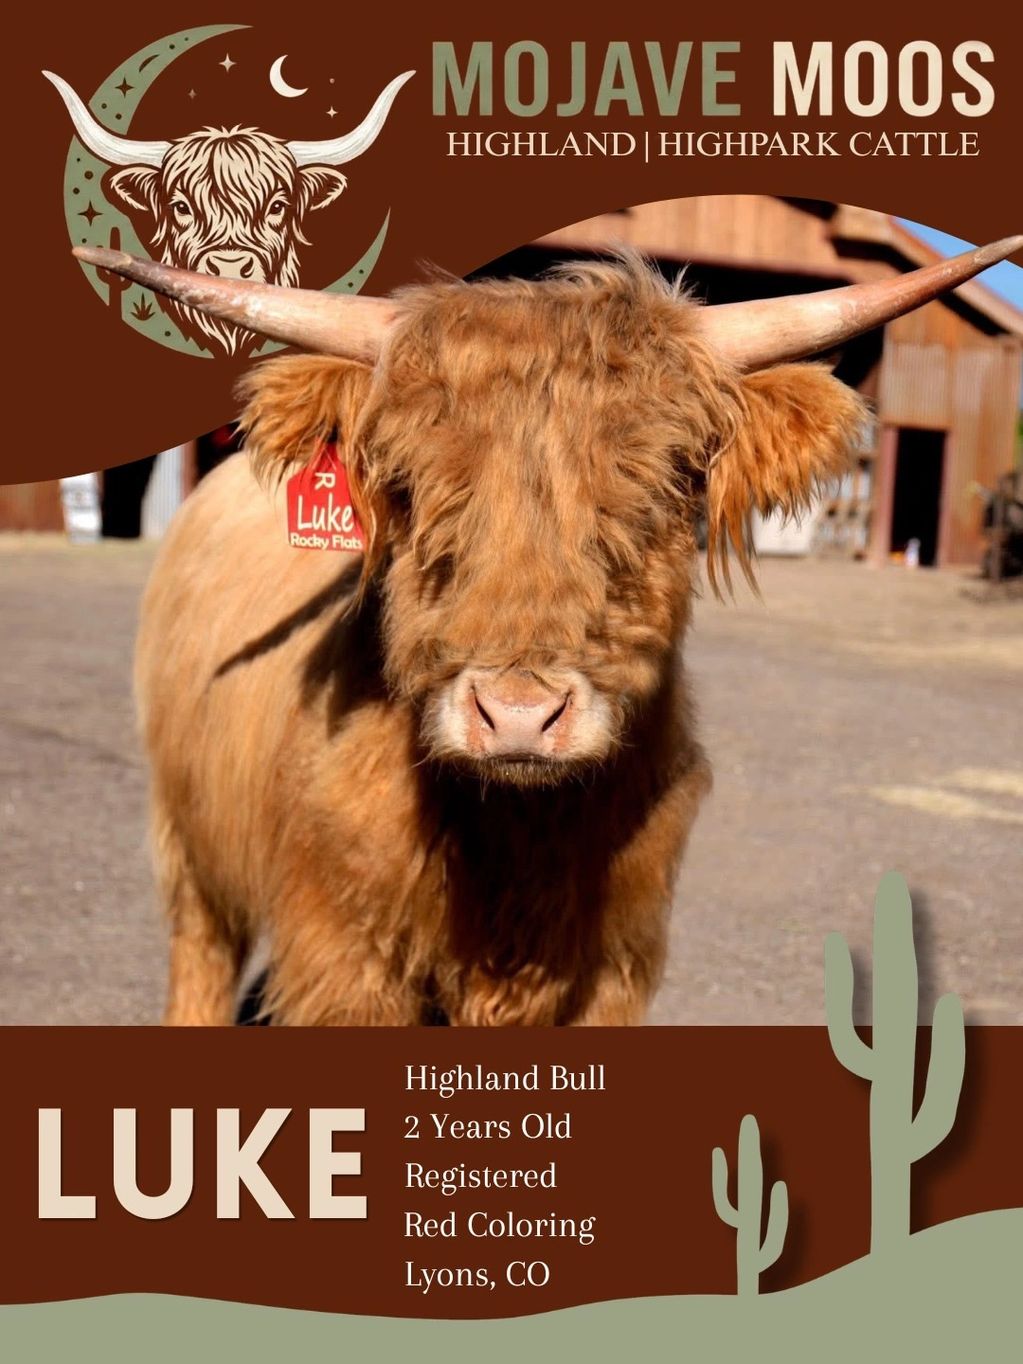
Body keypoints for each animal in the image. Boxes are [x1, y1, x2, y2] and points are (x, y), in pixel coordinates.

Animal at [78, 234, 1022, 1026]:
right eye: (410, 490)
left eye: (666, 488)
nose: (519, 716)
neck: (515, 845)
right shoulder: (345, 956)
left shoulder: (609, 967)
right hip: (188, 849)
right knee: (199, 960)